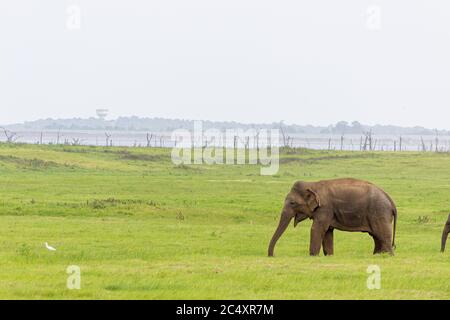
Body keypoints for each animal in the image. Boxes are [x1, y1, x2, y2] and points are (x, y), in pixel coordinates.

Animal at [268, 179, 398, 256]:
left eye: (292, 203)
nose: (272, 255)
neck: (313, 184)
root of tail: (391, 201)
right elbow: (327, 232)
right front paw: (329, 256)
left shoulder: (325, 208)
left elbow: (316, 229)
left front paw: (313, 256)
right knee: (376, 236)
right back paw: (377, 255)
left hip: (380, 212)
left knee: (382, 235)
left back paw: (388, 256)